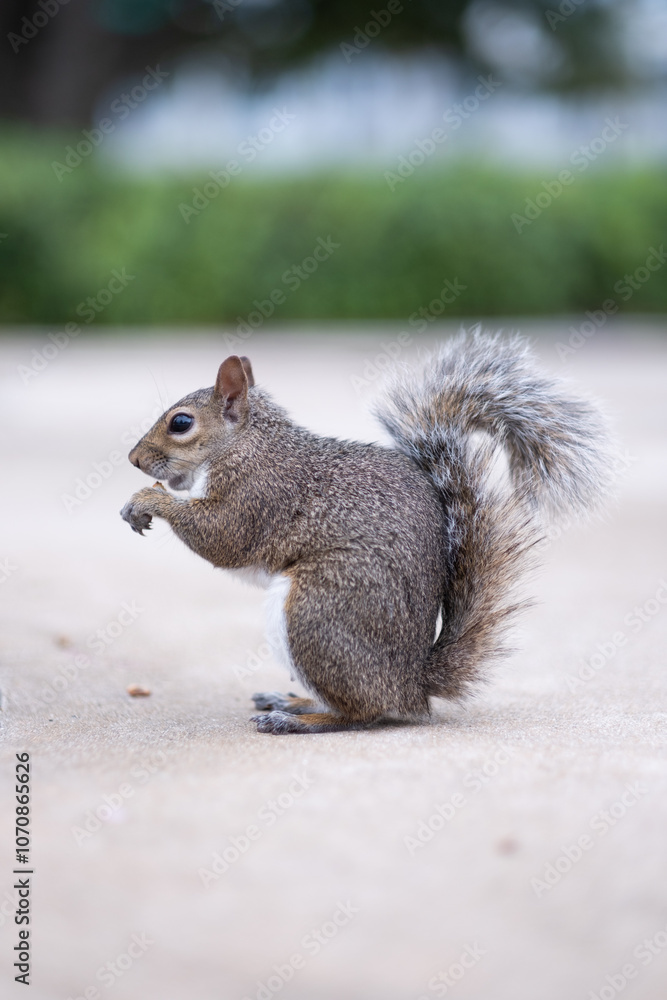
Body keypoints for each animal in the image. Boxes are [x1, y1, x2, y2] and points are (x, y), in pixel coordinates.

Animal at [120, 329, 615, 735]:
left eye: (181, 423)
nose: (133, 459)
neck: (247, 443)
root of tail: (412, 685)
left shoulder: (260, 495)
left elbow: (222, 537)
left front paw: (148, 501)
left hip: (317, 609)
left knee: (364, 711)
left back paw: (298, 719)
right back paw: (293, 700)